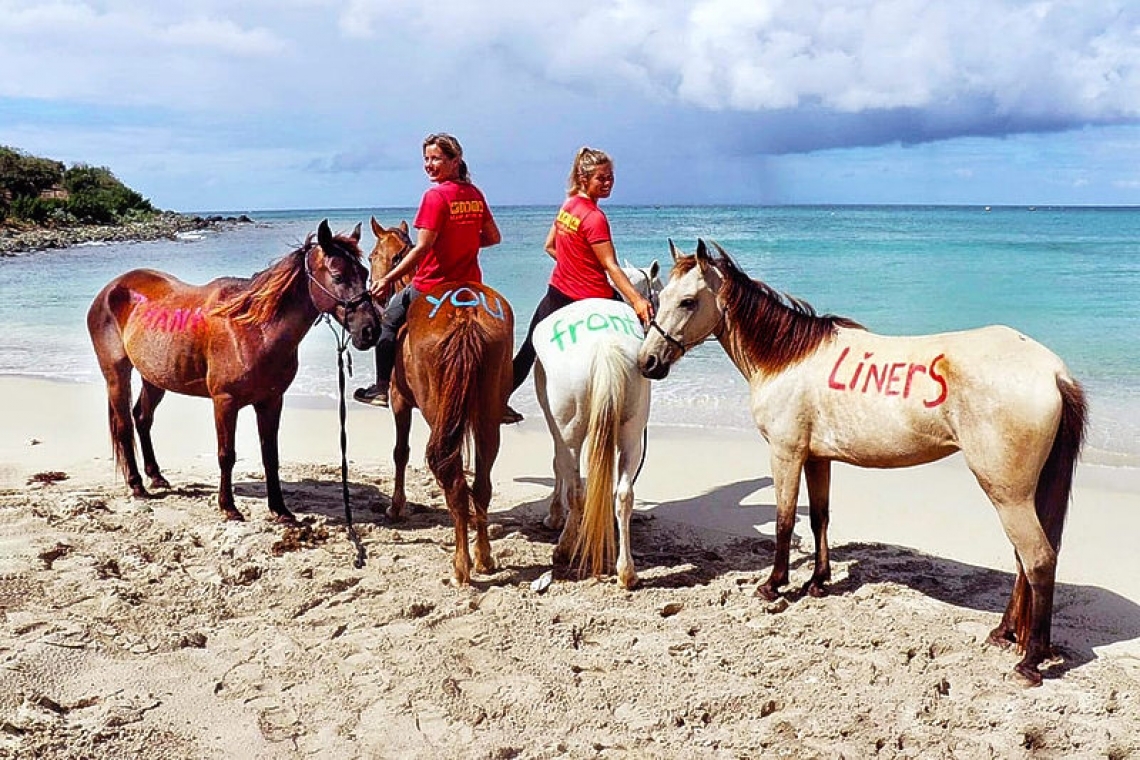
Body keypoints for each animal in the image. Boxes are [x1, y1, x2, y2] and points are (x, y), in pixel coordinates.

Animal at [88, 219, 380, 526]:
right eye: (337, 276)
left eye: (364, 273)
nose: (370, 330)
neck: (252, 328)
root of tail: (111, 289)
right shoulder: (225, 402)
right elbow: (226, 455)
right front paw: (228, 507)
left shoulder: (271, 401)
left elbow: (270, 456)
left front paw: (280, 510)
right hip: (117, 374)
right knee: (124, 425)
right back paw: (137, 484)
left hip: (155, 378)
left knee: (142, 419)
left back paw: (156, 476)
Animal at [378, 276, 513, 587]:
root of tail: (466, 314)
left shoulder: (399, 399)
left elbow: (400, 453)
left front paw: (396, 507)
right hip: (488, 416)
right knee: (481, 485)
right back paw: (484, 556)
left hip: (436, 412)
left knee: (455, 483)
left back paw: (461, 565)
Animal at [531, 262, 661, 587]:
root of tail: (605, 346)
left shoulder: (556, 427)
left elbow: (557, 466)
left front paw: (554, 516)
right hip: (632, 433)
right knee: (624, 494)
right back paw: (626, 571)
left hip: (570, 430)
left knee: (577, 489)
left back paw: (565, 547)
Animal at [638, 240, 1089, 688]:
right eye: (660, 297)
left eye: (688, 301)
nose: (648, 362)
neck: (787, 359)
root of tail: (1053, 373)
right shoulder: (817, 458)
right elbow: (819, 517)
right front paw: (818, 582)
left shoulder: (786, 453)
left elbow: (785, 519)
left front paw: (774, 585)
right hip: (1020, 493)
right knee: (1023, 560)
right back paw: (1004, 633)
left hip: (1008, 494)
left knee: (1038, 559)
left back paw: (1030, 660)